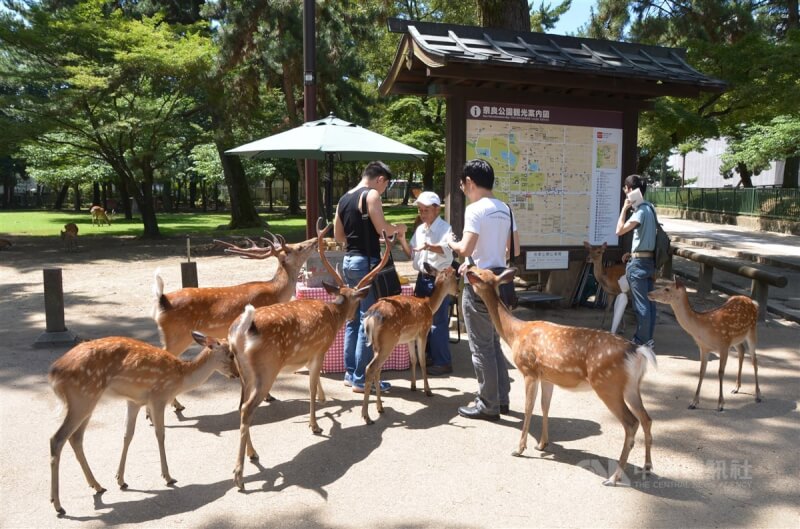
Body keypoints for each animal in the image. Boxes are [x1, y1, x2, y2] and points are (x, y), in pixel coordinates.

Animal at [47, 332, 238, 512]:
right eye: (231, 354)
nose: (236, 374)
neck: (180, 378)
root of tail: (54, 374)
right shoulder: (158, 397)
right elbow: (160, 434)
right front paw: (168, 477)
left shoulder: (134, 401)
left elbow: (127, 435)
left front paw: (121, 479)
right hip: (83, 397)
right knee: (57, 438)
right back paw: (58, 504)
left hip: (88, 400)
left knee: (76, 438)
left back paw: (97, 485)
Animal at [230, 217, 396, 488]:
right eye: (356, 299)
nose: (354, 317)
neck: (333, 315)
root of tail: (238, 332)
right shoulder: (319, 349)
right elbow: (311, 386)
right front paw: (315, 425)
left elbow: (316, 386)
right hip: (266, 369)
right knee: (247, 409)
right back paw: (239, 476)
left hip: (245, 373)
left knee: (241, 406)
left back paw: (253, 454)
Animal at [360, 262, 460, 422]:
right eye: (455, 278)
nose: (458, 291)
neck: (429, 306)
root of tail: (371, 316)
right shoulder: (423, 331)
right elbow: (422, 361)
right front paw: (428, 390)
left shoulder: (409, 338)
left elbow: (413, 359)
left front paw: (413, 386)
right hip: (388, 341)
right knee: (370, 368)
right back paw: (366, 416)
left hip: (377, 345)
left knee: (377, 369)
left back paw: (380, 408)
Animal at [462, 266, 656, 484]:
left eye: (480, 275)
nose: (468, 268)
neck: (515, 334)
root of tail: (638, 352)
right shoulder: (547, 377)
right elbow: (545, 406)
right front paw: (542, 444)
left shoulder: (529, 371)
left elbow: (529, 408)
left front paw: (519, 449)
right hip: (631, 387)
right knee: (646, 418)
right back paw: (647, 466)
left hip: (607, 385)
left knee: (631, 423)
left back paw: (614, 477)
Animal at [648, 278, 760, 410]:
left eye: (667, 289)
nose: (649, 293)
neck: (703, 329)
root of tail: (753, 302)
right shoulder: (704, 347)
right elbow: (702, 371)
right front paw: (693, 402)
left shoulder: (723, 345)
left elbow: (720, 372)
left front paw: (720, 404)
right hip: (736, 339)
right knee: (742, 351)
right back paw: (736, 388)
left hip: (751, 330)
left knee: (754, 359)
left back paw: (758, 395)